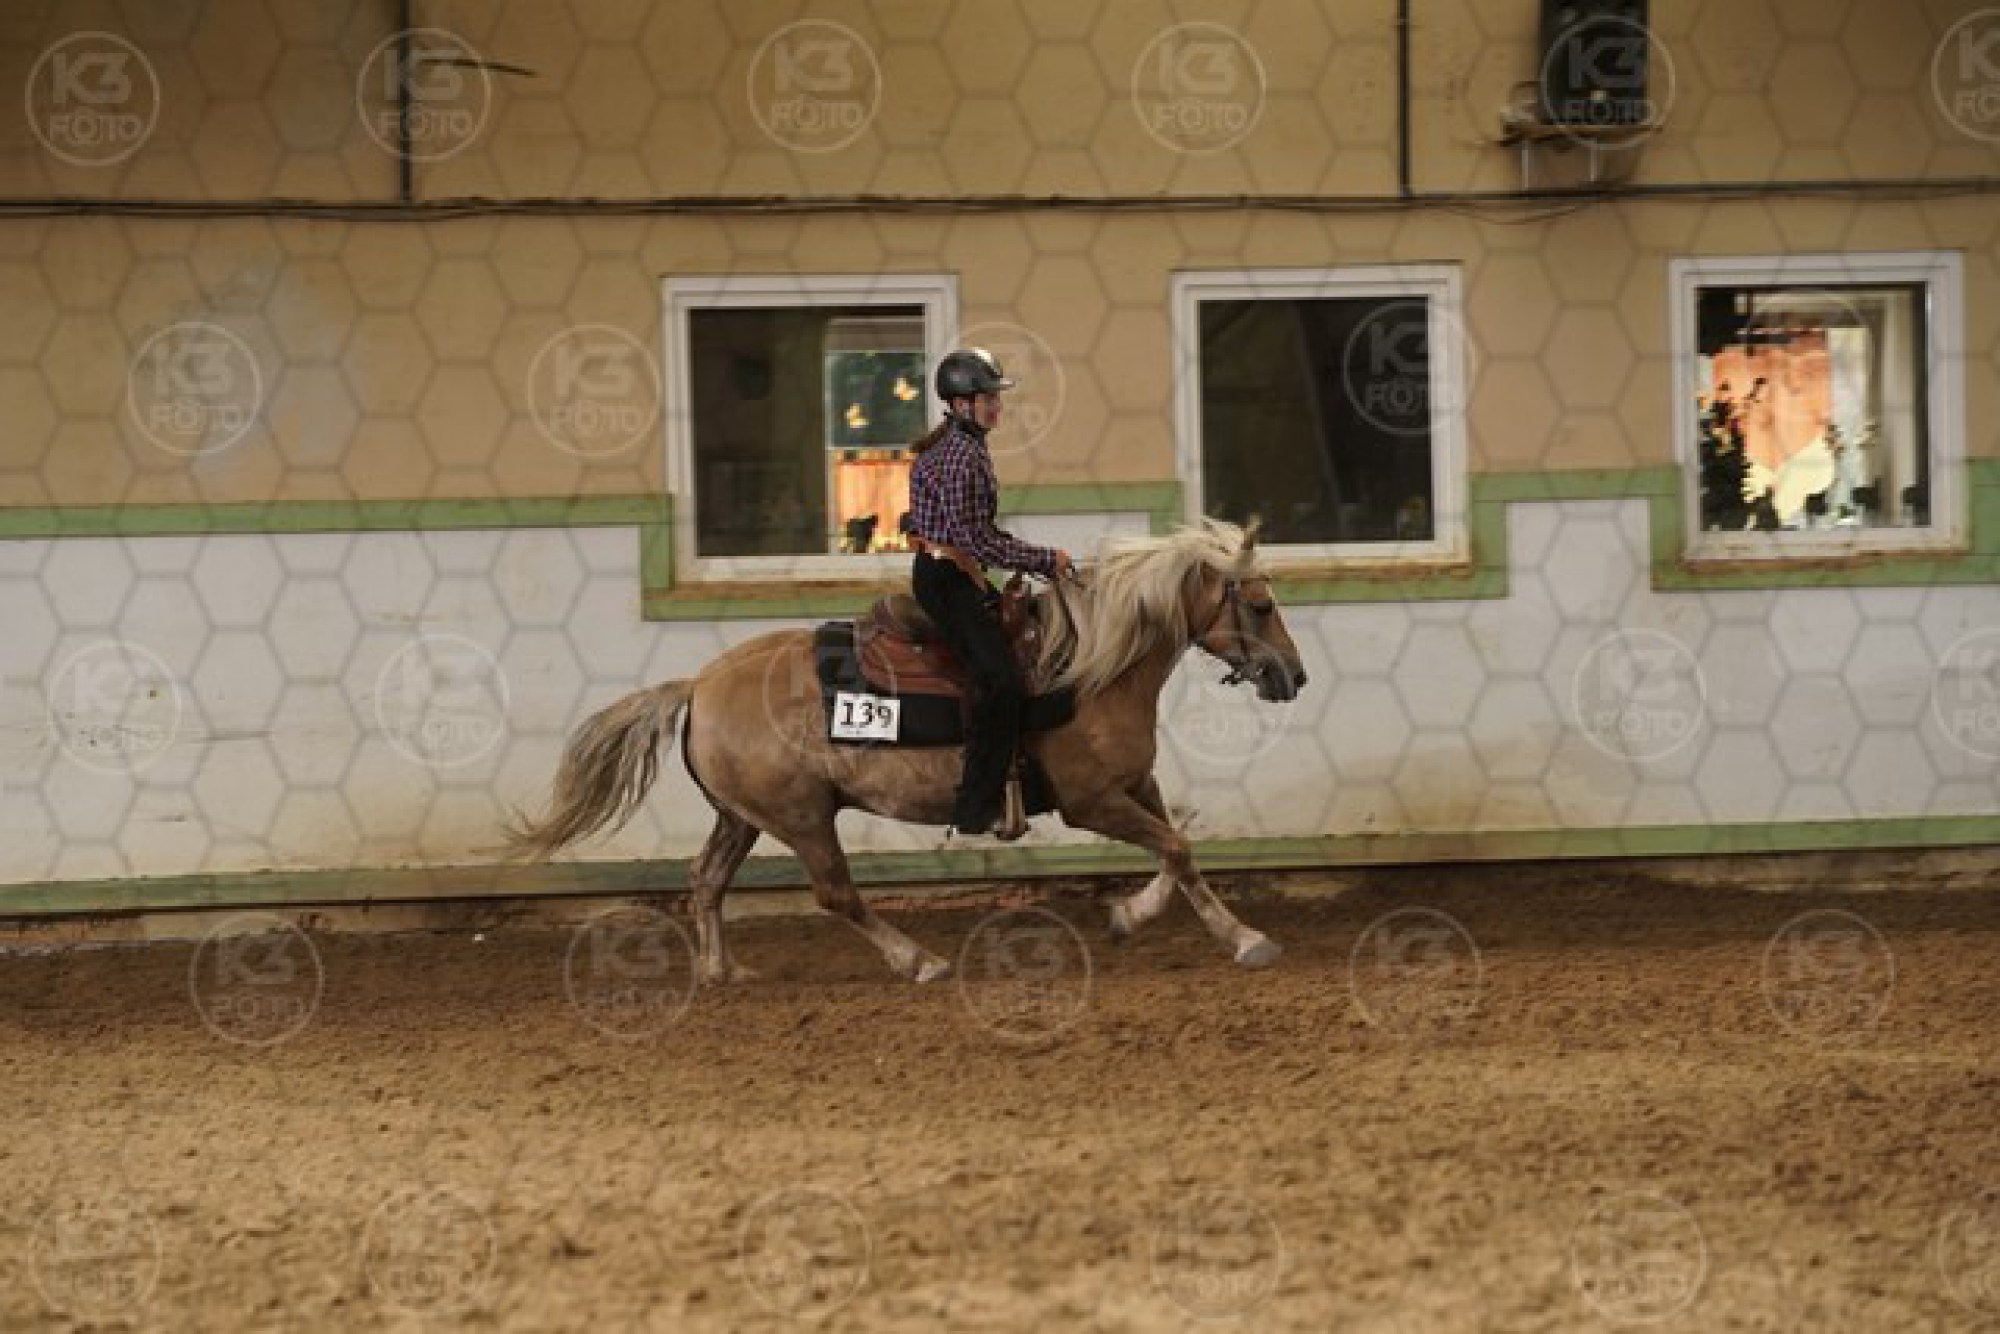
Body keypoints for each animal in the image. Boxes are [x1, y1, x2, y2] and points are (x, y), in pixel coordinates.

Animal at [507, 518, 1310, 985]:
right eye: (1261, 604)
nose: (1294, 676)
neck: (1091, 666)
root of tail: (698, 684)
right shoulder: (1093, 802)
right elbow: (1176, 849)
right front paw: (1245, 940)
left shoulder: (1135, 785)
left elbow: (1180, 851)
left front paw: (1134, 918)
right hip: (803, 817)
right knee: (835, 893)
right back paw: (917, 960)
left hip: (741, 818)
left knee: (705, 880)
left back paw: (720, 972)